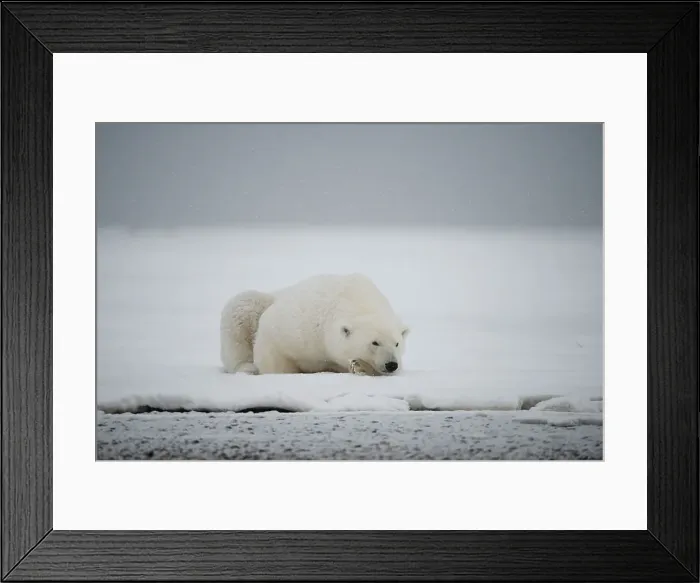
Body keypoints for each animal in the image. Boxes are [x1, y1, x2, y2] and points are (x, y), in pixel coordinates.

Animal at [220, 273, 409, 375]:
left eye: (397, 343)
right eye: (375, 342)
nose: (391, 364)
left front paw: (360, 366)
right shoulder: (299, 325)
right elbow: (272, 349)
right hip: (258, 302)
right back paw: (247, 367)